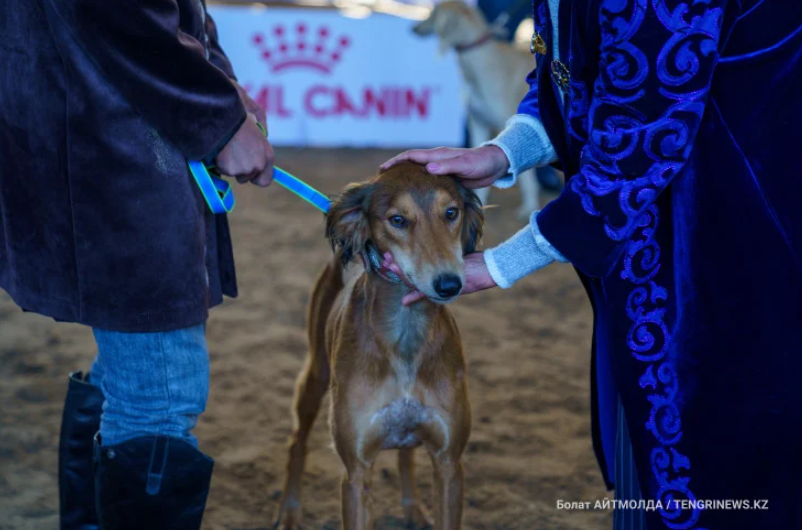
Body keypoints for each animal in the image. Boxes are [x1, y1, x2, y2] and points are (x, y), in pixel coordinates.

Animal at [276, 162, 482, 528]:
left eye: (451, 212)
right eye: (397, 219)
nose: (449, 284)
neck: (405, 338)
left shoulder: (449, 463)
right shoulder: (357, 472)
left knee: (405, 456)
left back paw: (413, 507)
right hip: (315, 375)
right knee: (297, 442)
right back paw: (289, 509)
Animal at [412, 1, 536, 218]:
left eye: (434, 13)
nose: (413, 28)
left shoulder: (511, 124)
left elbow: (527, 177)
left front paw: (529, 208)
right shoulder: (478, 123)